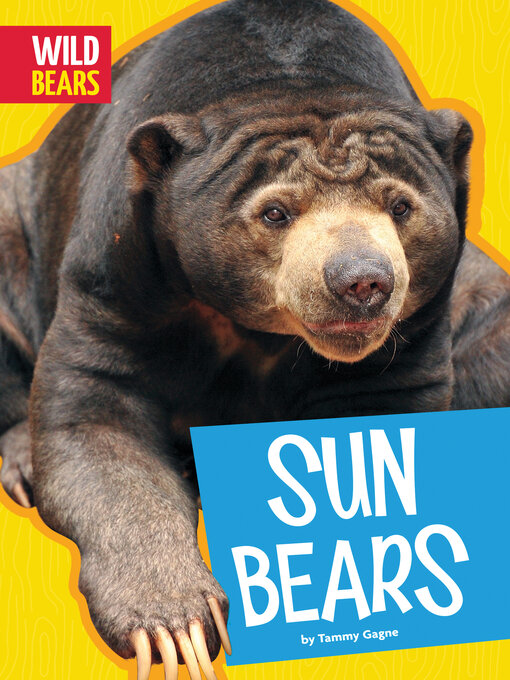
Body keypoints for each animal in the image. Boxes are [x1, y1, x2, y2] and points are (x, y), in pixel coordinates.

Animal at [1, 0, 510, 677]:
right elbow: (97, 418)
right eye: (275, 213)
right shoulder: (116, 271)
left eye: (400, 207)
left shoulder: (416, 325)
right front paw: (177, 631)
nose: (363, 282)